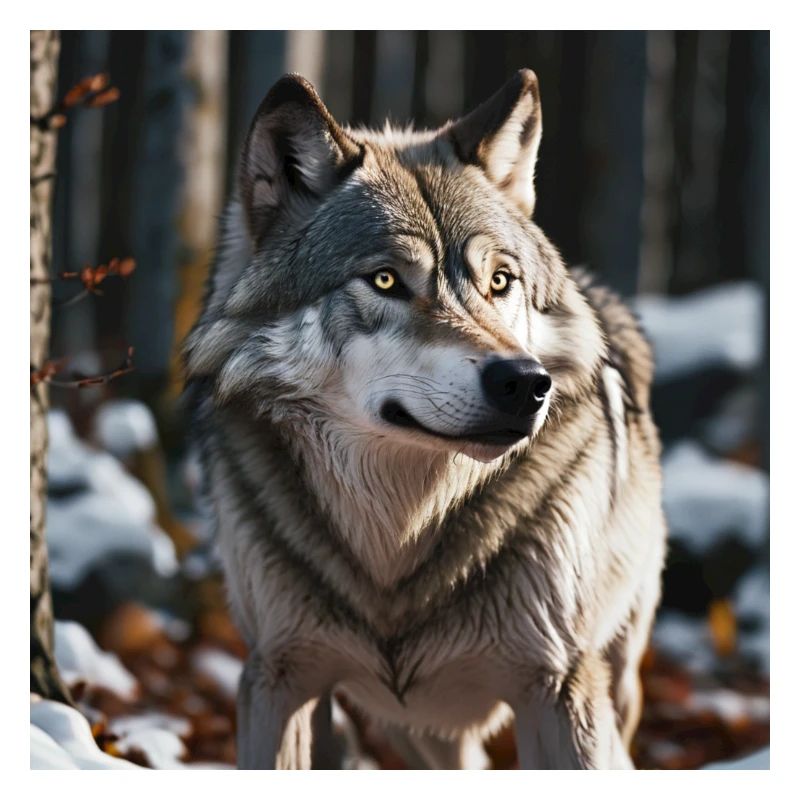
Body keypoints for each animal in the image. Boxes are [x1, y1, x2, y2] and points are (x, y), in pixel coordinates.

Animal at [184, 69, 667, 769]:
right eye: (385, 280)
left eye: (500, 281)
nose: (526, 383)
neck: (400, 539)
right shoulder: (279, 676)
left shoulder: (559, 687)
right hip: (416, 733)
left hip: (615, 681)